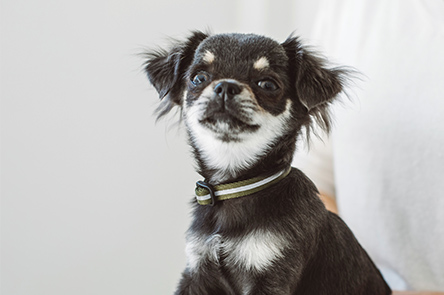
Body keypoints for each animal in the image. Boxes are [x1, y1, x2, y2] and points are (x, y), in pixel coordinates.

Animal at [144, 32, 390, 295]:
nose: (225, 86)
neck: (237, 187)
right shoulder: (197, 270)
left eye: (268, 85)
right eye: (198, 78)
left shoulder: (273, 271)